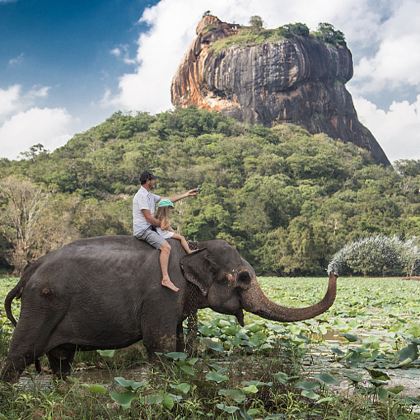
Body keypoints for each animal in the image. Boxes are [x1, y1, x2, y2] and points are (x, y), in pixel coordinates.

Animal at [0, 236, 336, 384]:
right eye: (242, 278)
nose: (334, 269)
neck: (194, 249)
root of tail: (28, 271)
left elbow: (176, 344)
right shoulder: (162, 294)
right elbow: (159, 345)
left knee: (61, 360)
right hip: (40, 305)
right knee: (20, 355)